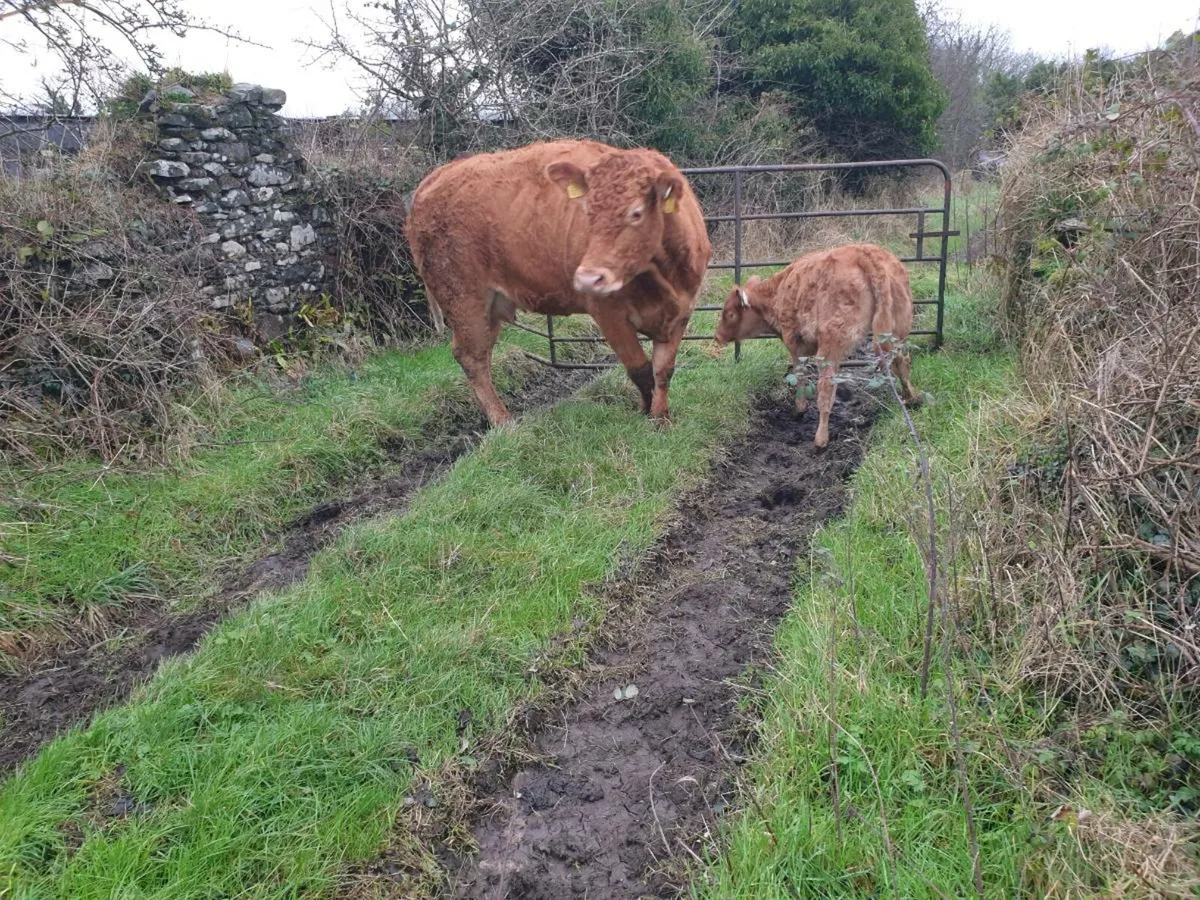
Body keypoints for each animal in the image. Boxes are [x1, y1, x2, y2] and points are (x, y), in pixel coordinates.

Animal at [404, 139, 711, 426]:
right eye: (587, 213)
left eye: (636, 213)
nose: (588, 278)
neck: (663, 279)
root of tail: (441, 174)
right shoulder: (608, 313)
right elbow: (641, 369)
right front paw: (645, 412)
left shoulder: (682, 311)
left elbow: (663, 370)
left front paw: (661, 418)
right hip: (463, 299)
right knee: (471, 356)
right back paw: (502, 421)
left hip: (489, 306)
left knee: (480, 354)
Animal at [712, 243, 920, 447]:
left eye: (729, 313)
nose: (717, 336)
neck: (777, 292)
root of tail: (864, 253)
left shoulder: (795, 344)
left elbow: (800, 374)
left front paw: (799, 409)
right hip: (897, 328)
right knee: (901, 360)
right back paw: (912, 398)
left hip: (831, 345)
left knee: (826, 388)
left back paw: (820, 439)